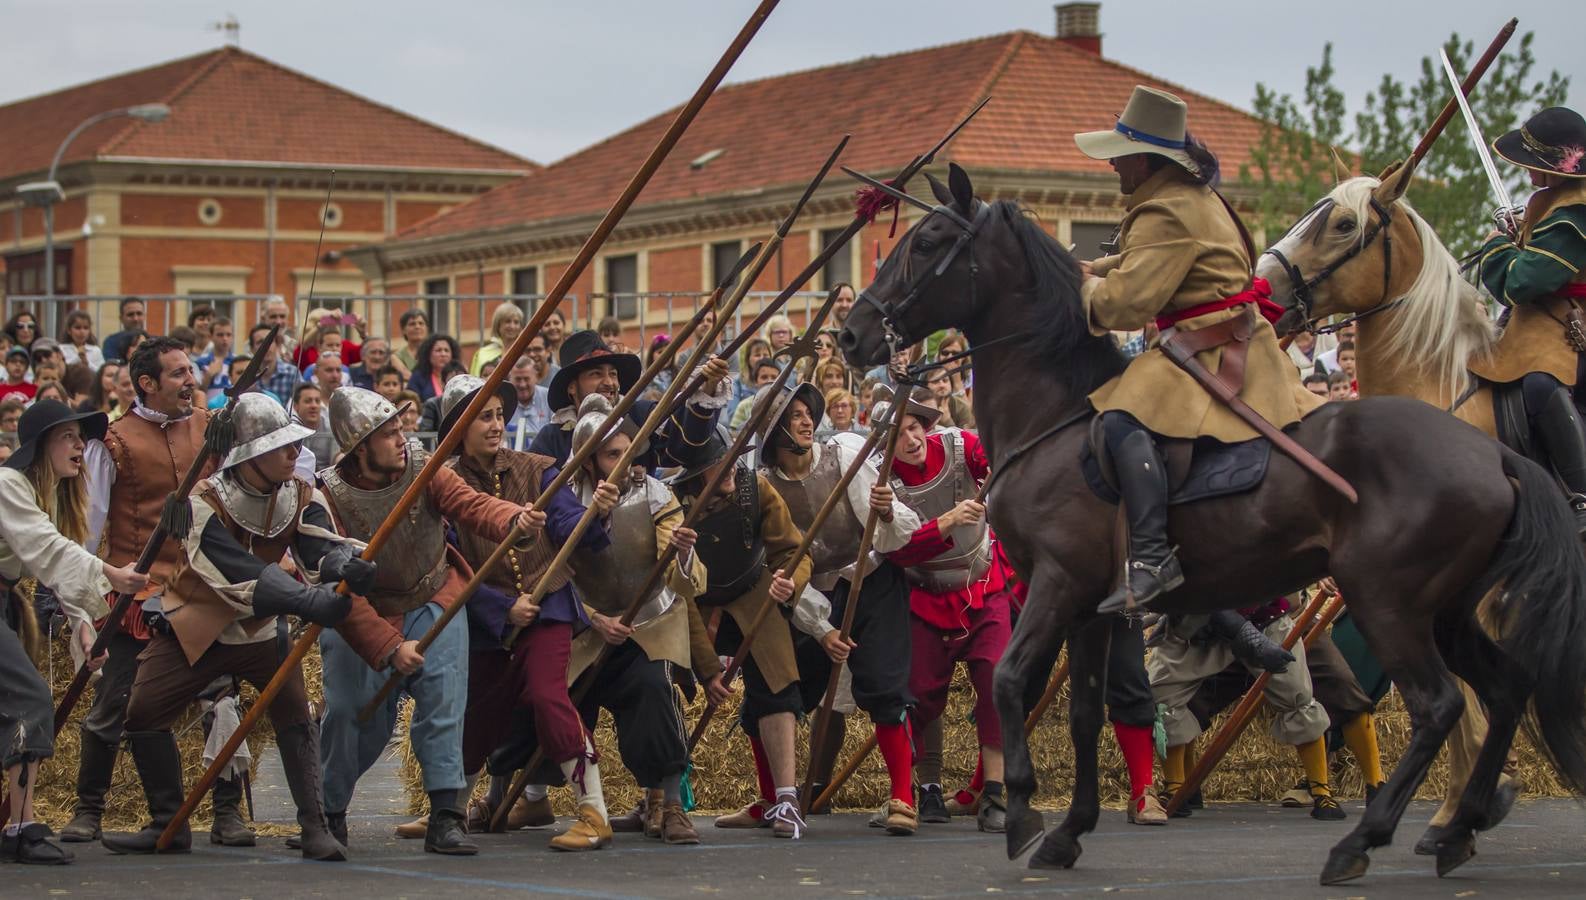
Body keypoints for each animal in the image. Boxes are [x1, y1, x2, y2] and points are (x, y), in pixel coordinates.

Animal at [850, 163, 1586, 888]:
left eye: (928, 241)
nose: (854, 331)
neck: (1055, 415)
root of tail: (1494, 454)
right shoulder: (1087, 608)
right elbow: (1086, 715)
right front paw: (1069, 831)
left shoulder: (1057, 587)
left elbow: (1005, 681)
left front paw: (1025, 813)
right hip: (1450, 609)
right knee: (1505, 689)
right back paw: (1457, 827)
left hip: (1390, 604)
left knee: (1440, 705)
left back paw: (1364, 840)